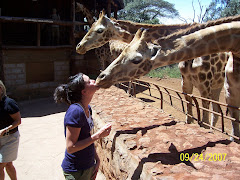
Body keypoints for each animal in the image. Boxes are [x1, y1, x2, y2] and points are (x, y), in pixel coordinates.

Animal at [76, 11, 236, 126]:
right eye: (90, 26)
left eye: (99, 30)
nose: (79, 47)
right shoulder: (186, 83)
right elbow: (190, 117)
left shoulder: (204, 85)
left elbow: (202, 119)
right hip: (217, 85)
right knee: (217, 112)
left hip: (215, 86)